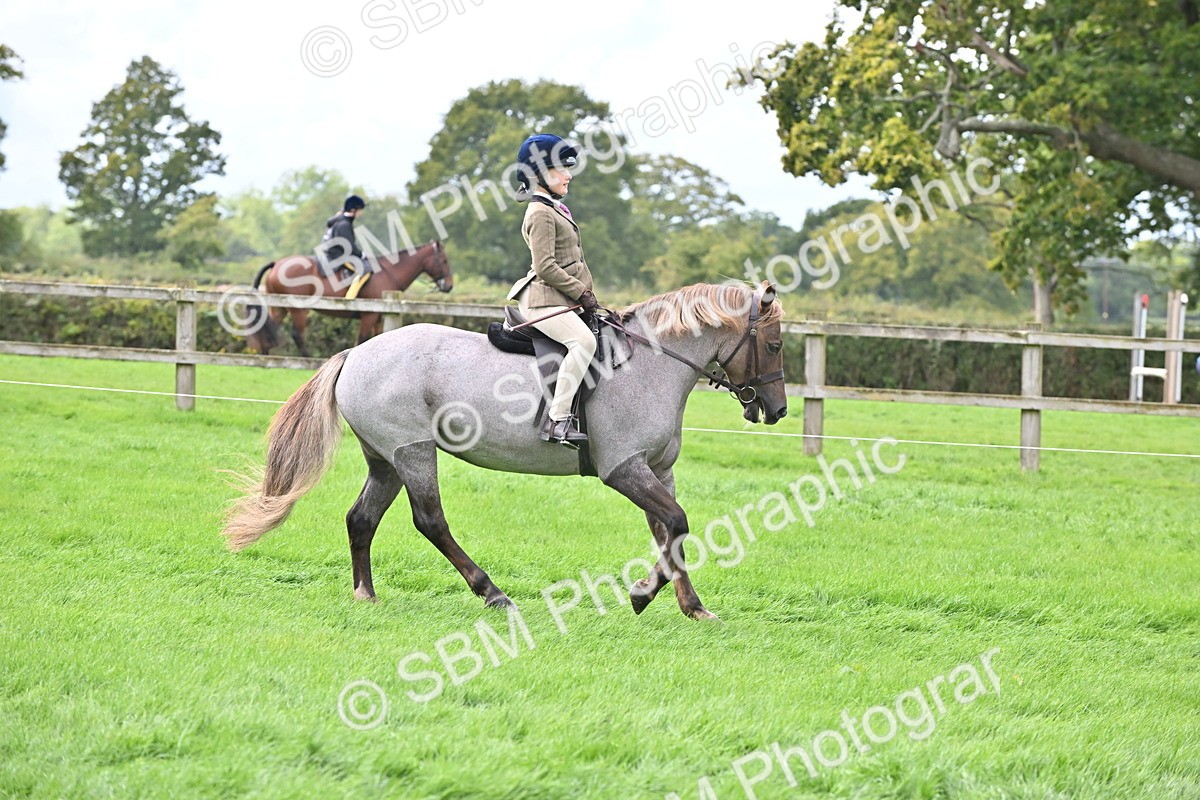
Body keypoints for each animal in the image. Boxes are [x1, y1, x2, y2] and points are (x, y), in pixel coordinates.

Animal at [222, 282, 787, 620]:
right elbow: (677, 522)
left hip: (386, 459)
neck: (647, 364)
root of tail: (357, 353)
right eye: (777, 346)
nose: (777, 410)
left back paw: (367, 594)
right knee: (431, 521)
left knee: (362, 518)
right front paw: (642, 594)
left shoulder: (657, 471)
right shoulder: (625, 470)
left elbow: (672, 533)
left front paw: (693, 608)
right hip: (414, 452)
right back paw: (493, 594)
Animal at [247, 240, 453, 356]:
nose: (449, 285)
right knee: (297, 334)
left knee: (269, 330)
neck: (388, 272)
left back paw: (265, 356)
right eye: (444, 260)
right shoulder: (369, 316)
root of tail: (277, 264)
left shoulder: (378, 317)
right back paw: (307, 358)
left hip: (279, 308)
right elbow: (361, 339)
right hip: (299, 310)